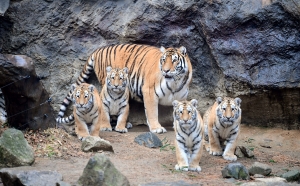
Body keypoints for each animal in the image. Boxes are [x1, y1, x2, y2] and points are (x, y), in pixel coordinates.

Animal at [56, 44, 192, 133]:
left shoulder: (181, 97)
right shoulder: (149, 92)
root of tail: (98, 49)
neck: (175, 82)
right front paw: (156, 128)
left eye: (174, 61)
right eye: (163, 60)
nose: (165, 70)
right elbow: (152, 112)